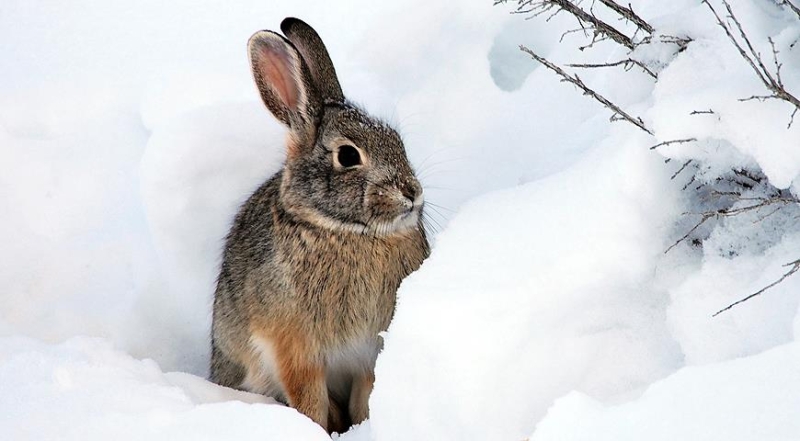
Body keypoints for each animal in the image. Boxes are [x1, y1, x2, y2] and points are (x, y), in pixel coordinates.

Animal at [209, 18, 428, 434]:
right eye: (348, 156)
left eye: (397, 141)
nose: (412, 192)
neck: (347, 231)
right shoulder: (296, 349)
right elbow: (309, 400)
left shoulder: (369, 352)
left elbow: (366, 396)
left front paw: (364, 427)